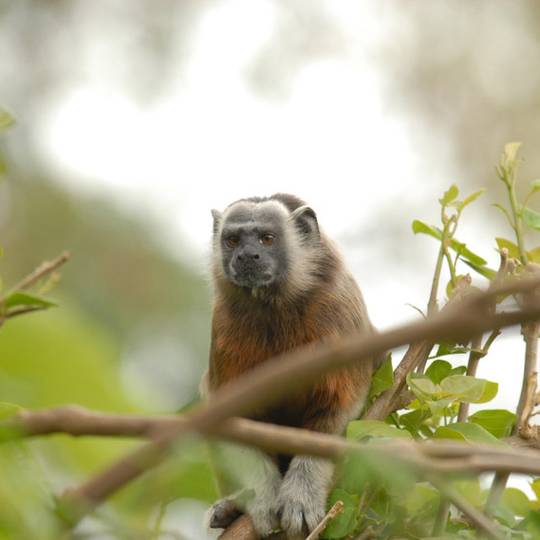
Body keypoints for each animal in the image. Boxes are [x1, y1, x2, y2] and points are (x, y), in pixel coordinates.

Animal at [204, 192, 376, 536]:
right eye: (232, 240)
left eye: (267, 238)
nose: (247, 256)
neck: (274, 305)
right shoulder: (223, 327)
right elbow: (232, 417)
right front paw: (262, 496)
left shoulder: (340, 311)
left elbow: (339, 409)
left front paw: (302, 493)